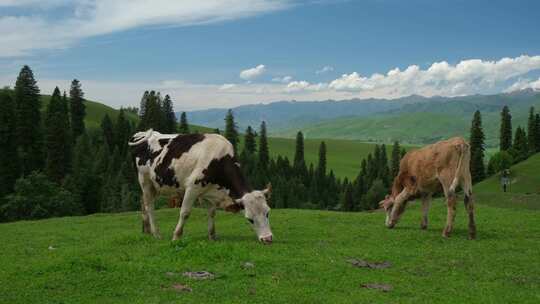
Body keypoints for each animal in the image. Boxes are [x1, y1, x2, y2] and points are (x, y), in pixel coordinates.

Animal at [129, 129, 274, 243]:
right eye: (249, 219)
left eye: (267, 213)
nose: (267, 239)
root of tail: (143, 134)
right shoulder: (192, 187)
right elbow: (185, 213)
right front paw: (176, 236)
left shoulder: (209, 191)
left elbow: (212, 213)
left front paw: (212, 236)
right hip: (145, 180)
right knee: (149, 206)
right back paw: (156, 233)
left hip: (156, 185)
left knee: (143, 202)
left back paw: (146, 230)